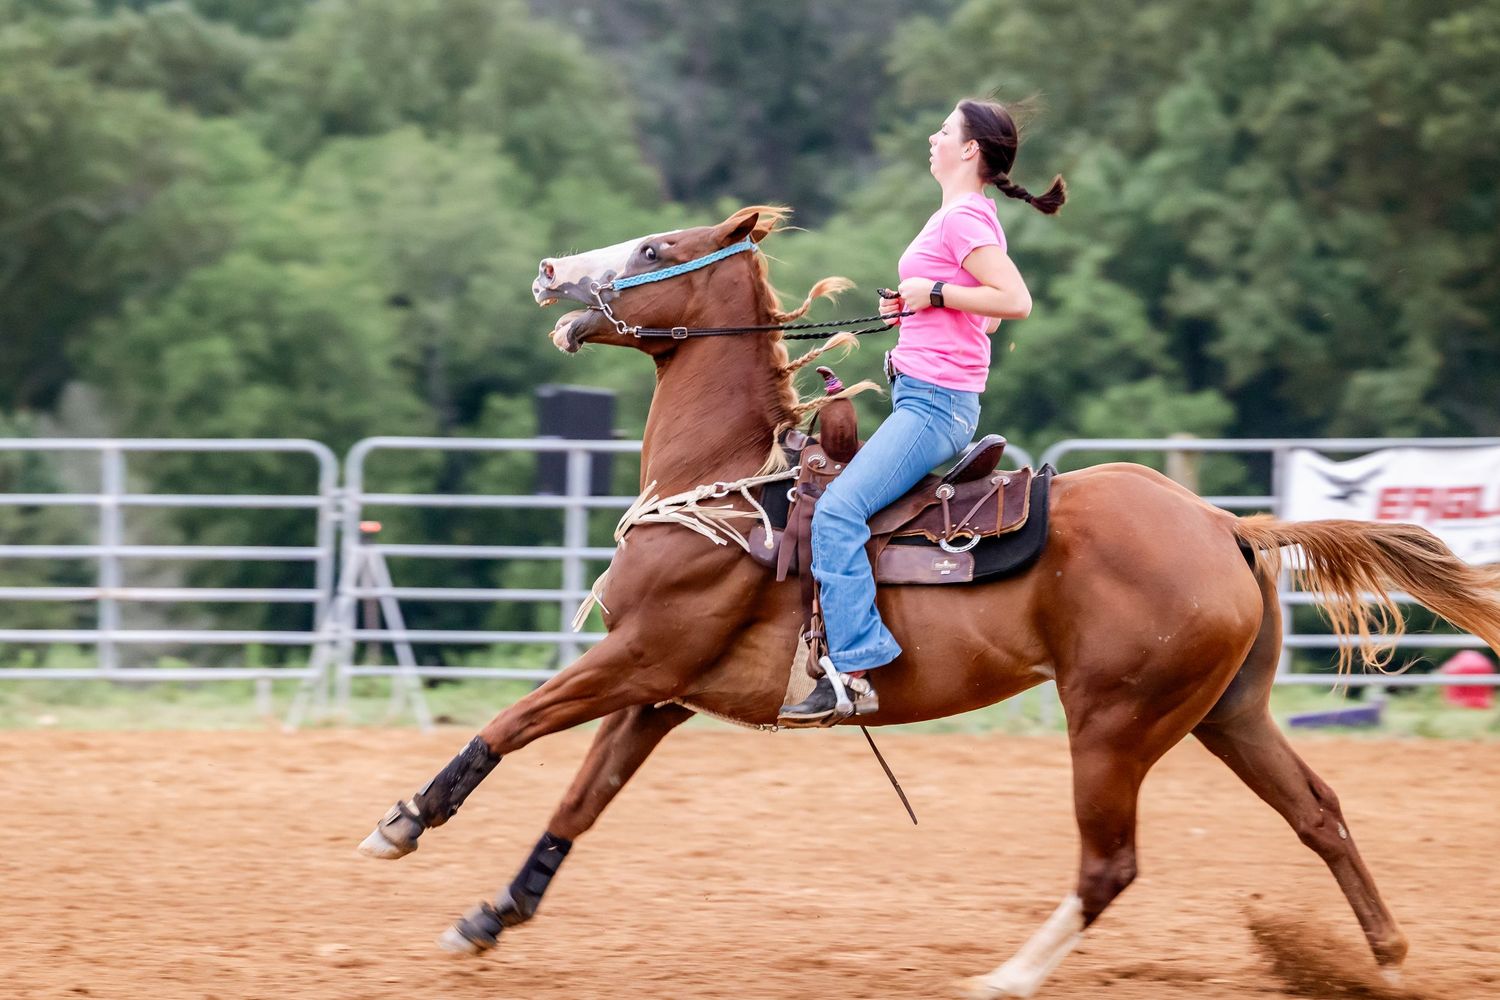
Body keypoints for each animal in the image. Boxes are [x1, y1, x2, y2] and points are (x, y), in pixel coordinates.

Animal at [357, 205, 1500, 998]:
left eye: (651, 250)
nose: (551, 271)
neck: (727, 479)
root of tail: (1230, 526)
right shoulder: (663, 690)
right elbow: (581, 801)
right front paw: (492, 914)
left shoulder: (636, 657)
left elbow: (513, 723)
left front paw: (405, 820)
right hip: (1228, 714)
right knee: (1321, 814)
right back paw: (1388, 958)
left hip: (1115, 722)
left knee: (1110, 865)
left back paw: (1005, 977)